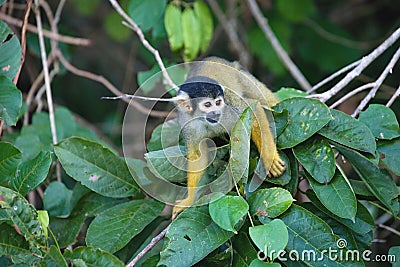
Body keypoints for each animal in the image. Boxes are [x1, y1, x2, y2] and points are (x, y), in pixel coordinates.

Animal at [173, 57, 286, 218]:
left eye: (218, 102)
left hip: (241, 75)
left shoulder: (228, 107)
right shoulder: (187, 124)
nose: (216, 112)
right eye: (207, 104)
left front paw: (270, 159)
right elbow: (197, 156)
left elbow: (253, 109)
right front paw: (189, 200)